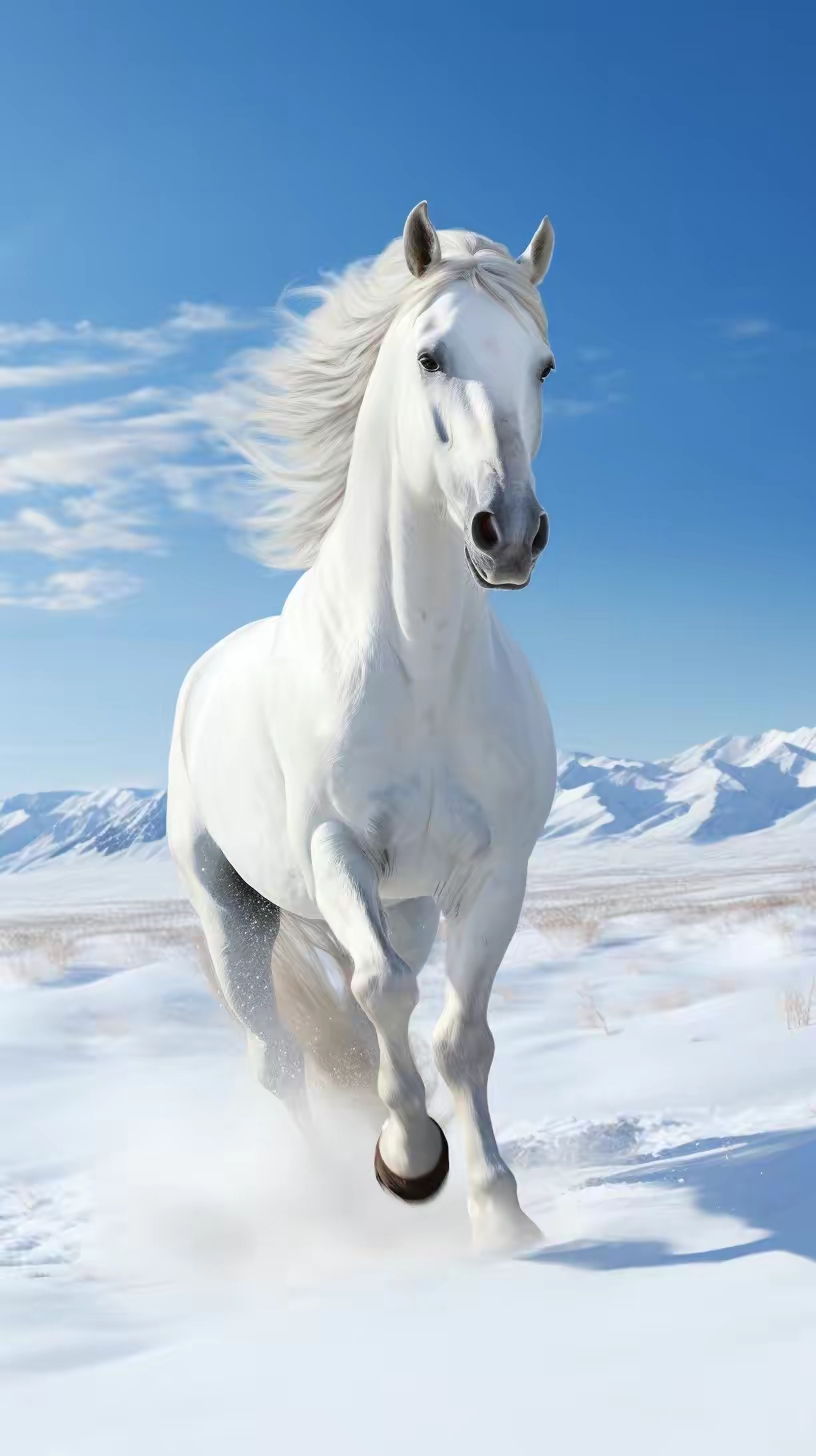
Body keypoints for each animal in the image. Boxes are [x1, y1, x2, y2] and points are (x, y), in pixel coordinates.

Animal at [167, 201, 558, 1250]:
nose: (508, 533)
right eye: (430, 355)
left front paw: (499, 1211)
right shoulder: (335, 850)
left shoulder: (494, 871)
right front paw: (412, 1160)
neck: (418, 666)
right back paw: (330, 1199)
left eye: (543, 366)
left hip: (409, 907)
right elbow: (382, 995)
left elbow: (459, 1036)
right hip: (234, 913)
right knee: (281, 1057)